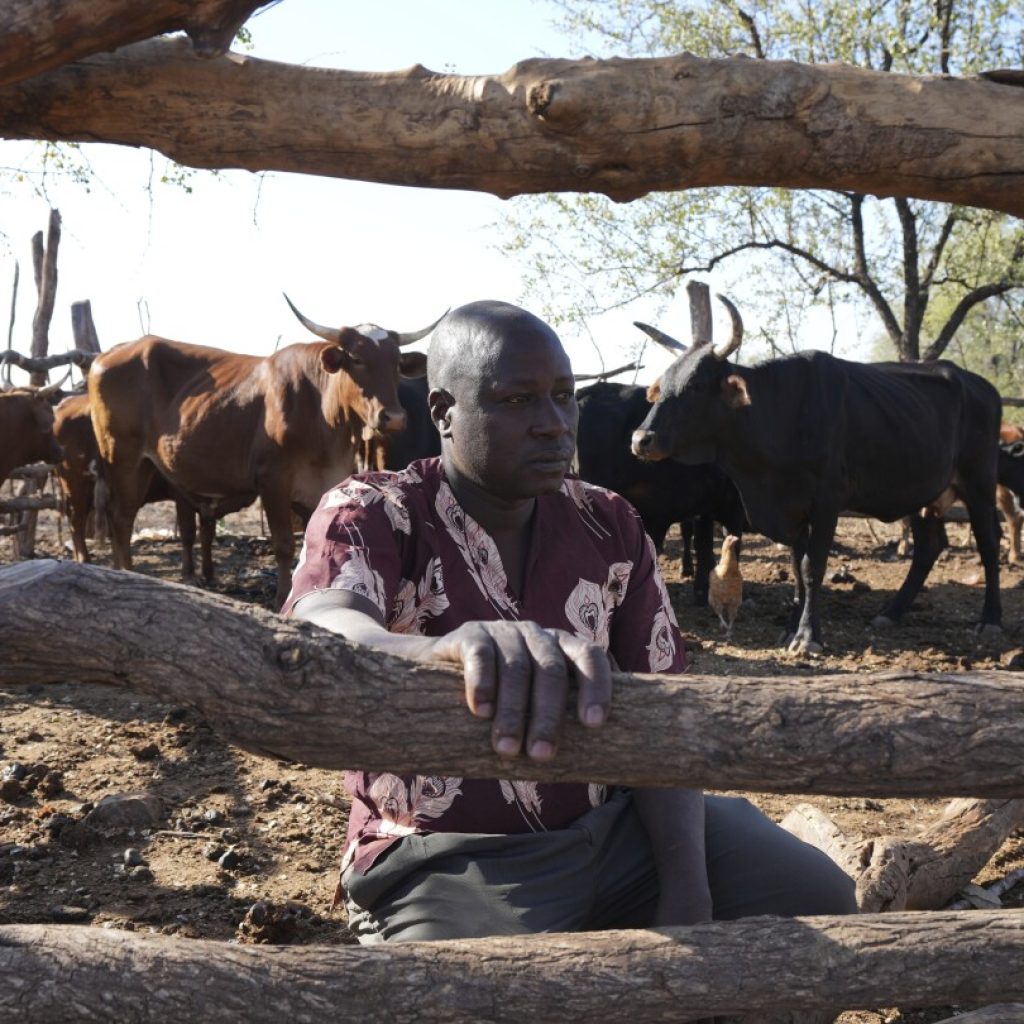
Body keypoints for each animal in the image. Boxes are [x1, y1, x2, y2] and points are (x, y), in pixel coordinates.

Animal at [88, 299, 440, 610]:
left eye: (396, 363)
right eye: (355, 358)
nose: (393, 418)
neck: (322, 414)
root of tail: (110, 354)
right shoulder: (273, 481)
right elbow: (284, 544)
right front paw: (282, 595)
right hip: (123, 458)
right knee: (122, 518)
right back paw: (125, 573)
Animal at [626, 296, 1003, 651]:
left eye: (695, 385)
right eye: (664, 384)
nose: (641, 439)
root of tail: (983, 386)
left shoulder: (826, 501)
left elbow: (812, 567)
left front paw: (808, 636)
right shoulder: (792, 509)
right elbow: (796, 566)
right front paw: (791, 627)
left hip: (980, 482)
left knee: (988, 542)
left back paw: (991, 620)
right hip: (923, 493)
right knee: (928, 548)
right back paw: (890, 613)